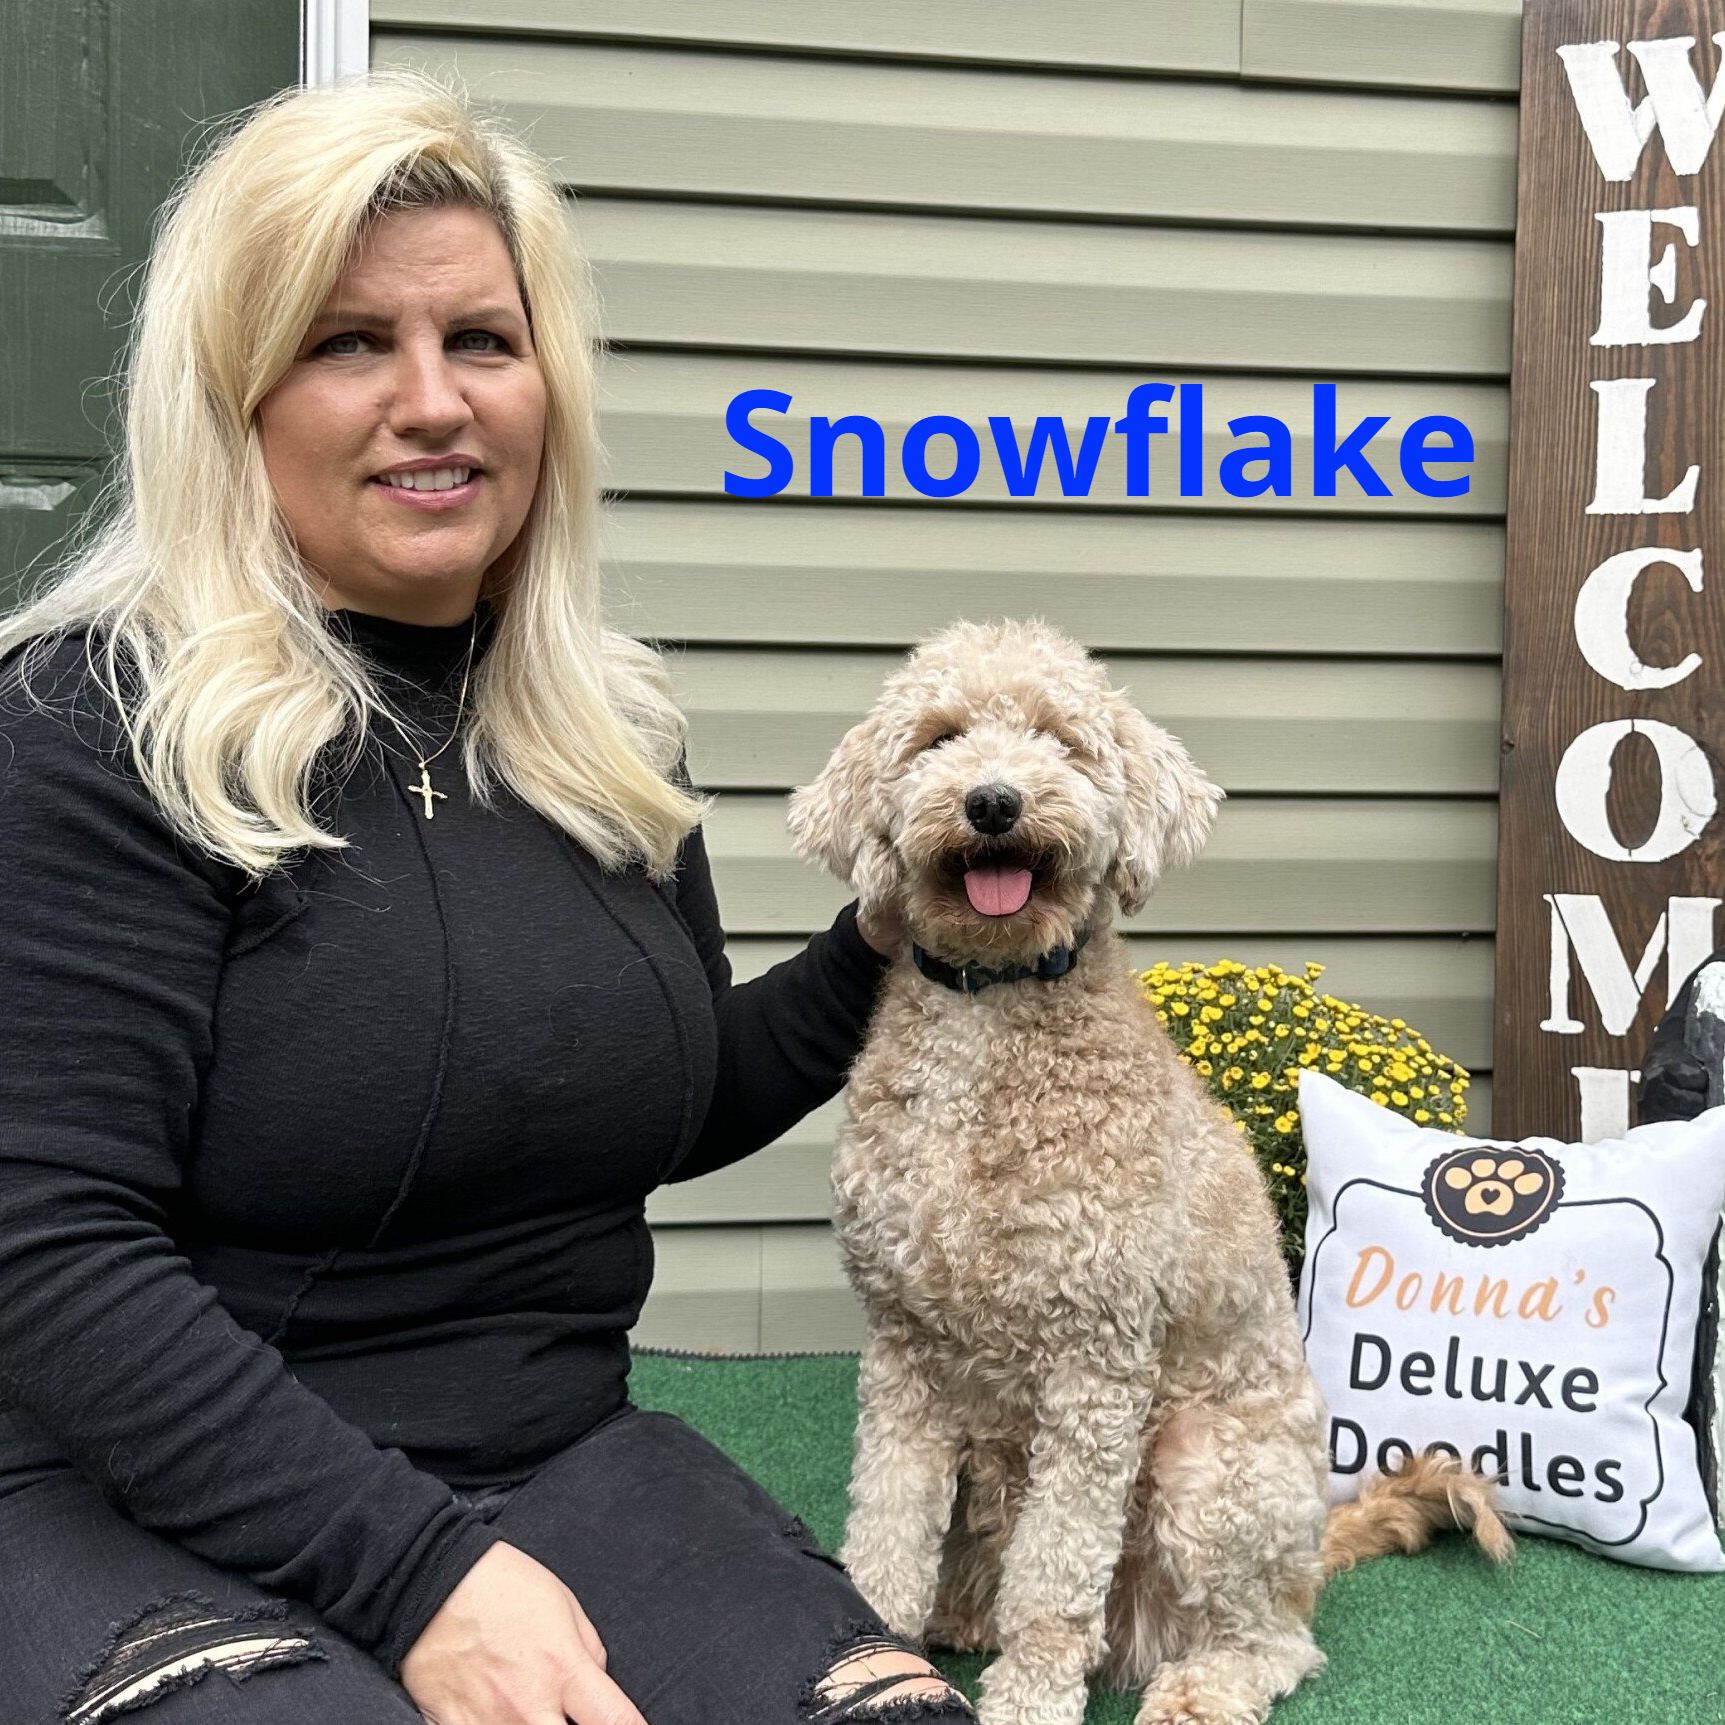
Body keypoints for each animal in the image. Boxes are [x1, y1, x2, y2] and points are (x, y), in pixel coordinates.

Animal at [786, 621, 1511, 1725]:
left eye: (1060, 739)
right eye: (939, 737)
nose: (992, 801)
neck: (989, 1010)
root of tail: (1309, 1557)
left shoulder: (1095, 1365)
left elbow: (1054, 1577)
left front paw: (1028, 1700)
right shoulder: (905, 1353)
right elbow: (887, 1529)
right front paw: (883, 1637)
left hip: (1204, 1462)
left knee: (1274, 1642)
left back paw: (1199, 1685)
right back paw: (962, 1615)